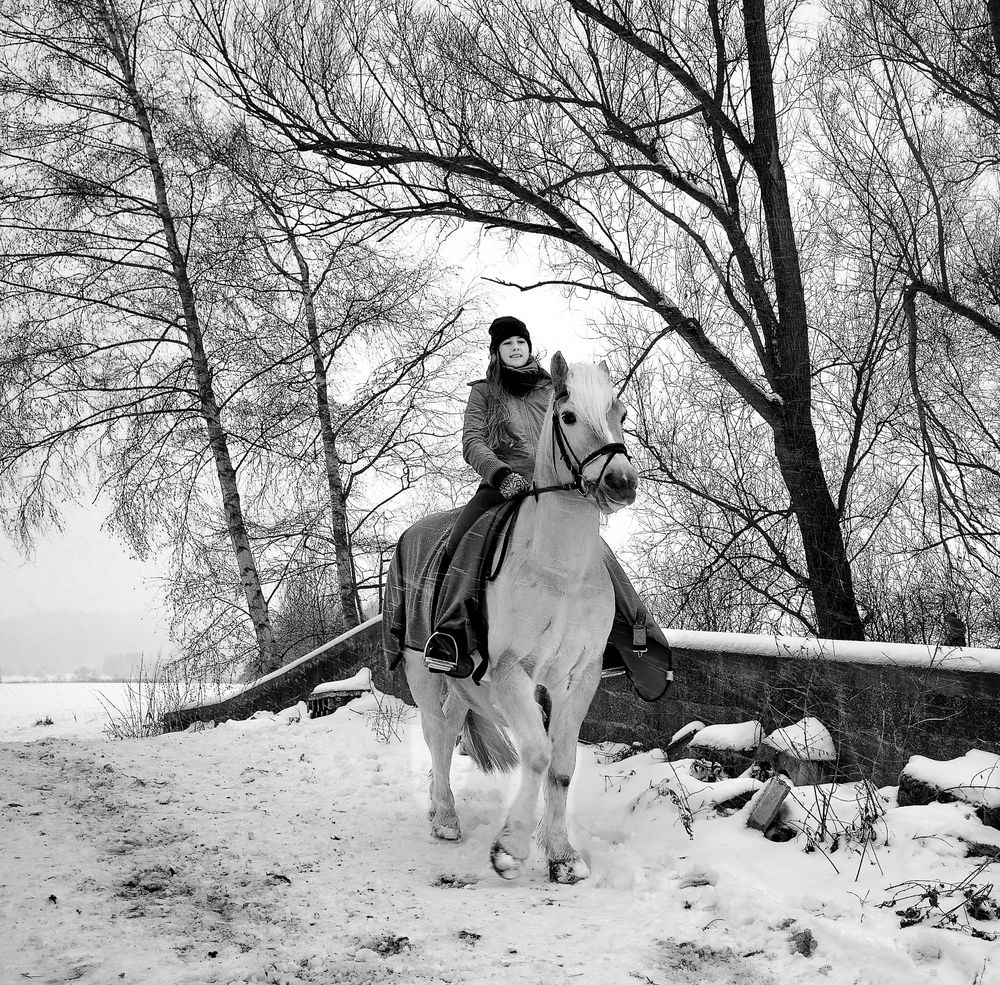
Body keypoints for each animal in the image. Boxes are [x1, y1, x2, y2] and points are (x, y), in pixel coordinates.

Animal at [388, 354, 632, 884]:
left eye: (620, 413)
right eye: (568, 417)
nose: (621, 482)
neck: (559, 569)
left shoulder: (579, 677)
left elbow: (562, 763)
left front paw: (563, 857)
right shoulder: (510, 671)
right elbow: (537, 754)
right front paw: (511, 848)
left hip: (463, 681)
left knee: (451, 727)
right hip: (420, 665)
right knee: (437, 736)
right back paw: (445, 817)